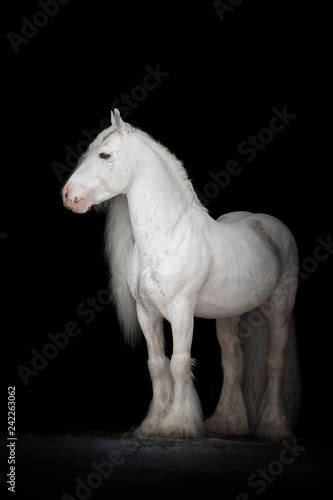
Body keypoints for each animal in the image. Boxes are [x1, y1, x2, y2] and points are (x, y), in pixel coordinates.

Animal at [61, 110, 300, 442]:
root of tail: (272, 226)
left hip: (280, 307)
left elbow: (178, 363)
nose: (68, 196)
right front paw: (152, 424)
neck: (170, 234)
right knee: (233, 361)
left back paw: (274, 428)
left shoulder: (181, 312)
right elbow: (157, 364)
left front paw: (177, 424)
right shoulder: (147, 313)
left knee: (274, 363)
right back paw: (227, 424)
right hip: (229, 315)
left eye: (104, 154)